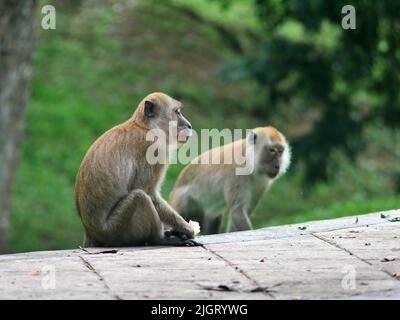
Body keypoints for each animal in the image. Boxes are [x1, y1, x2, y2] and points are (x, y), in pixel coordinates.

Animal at [74, 92, 200, 248]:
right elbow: (148, 193)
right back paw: (159, 239)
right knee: (140, 197)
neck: (146, 127)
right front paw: (188, 229)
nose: (189, 125)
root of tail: (90, 231)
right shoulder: (153, 148)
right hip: (116, 229)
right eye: (177, 112)